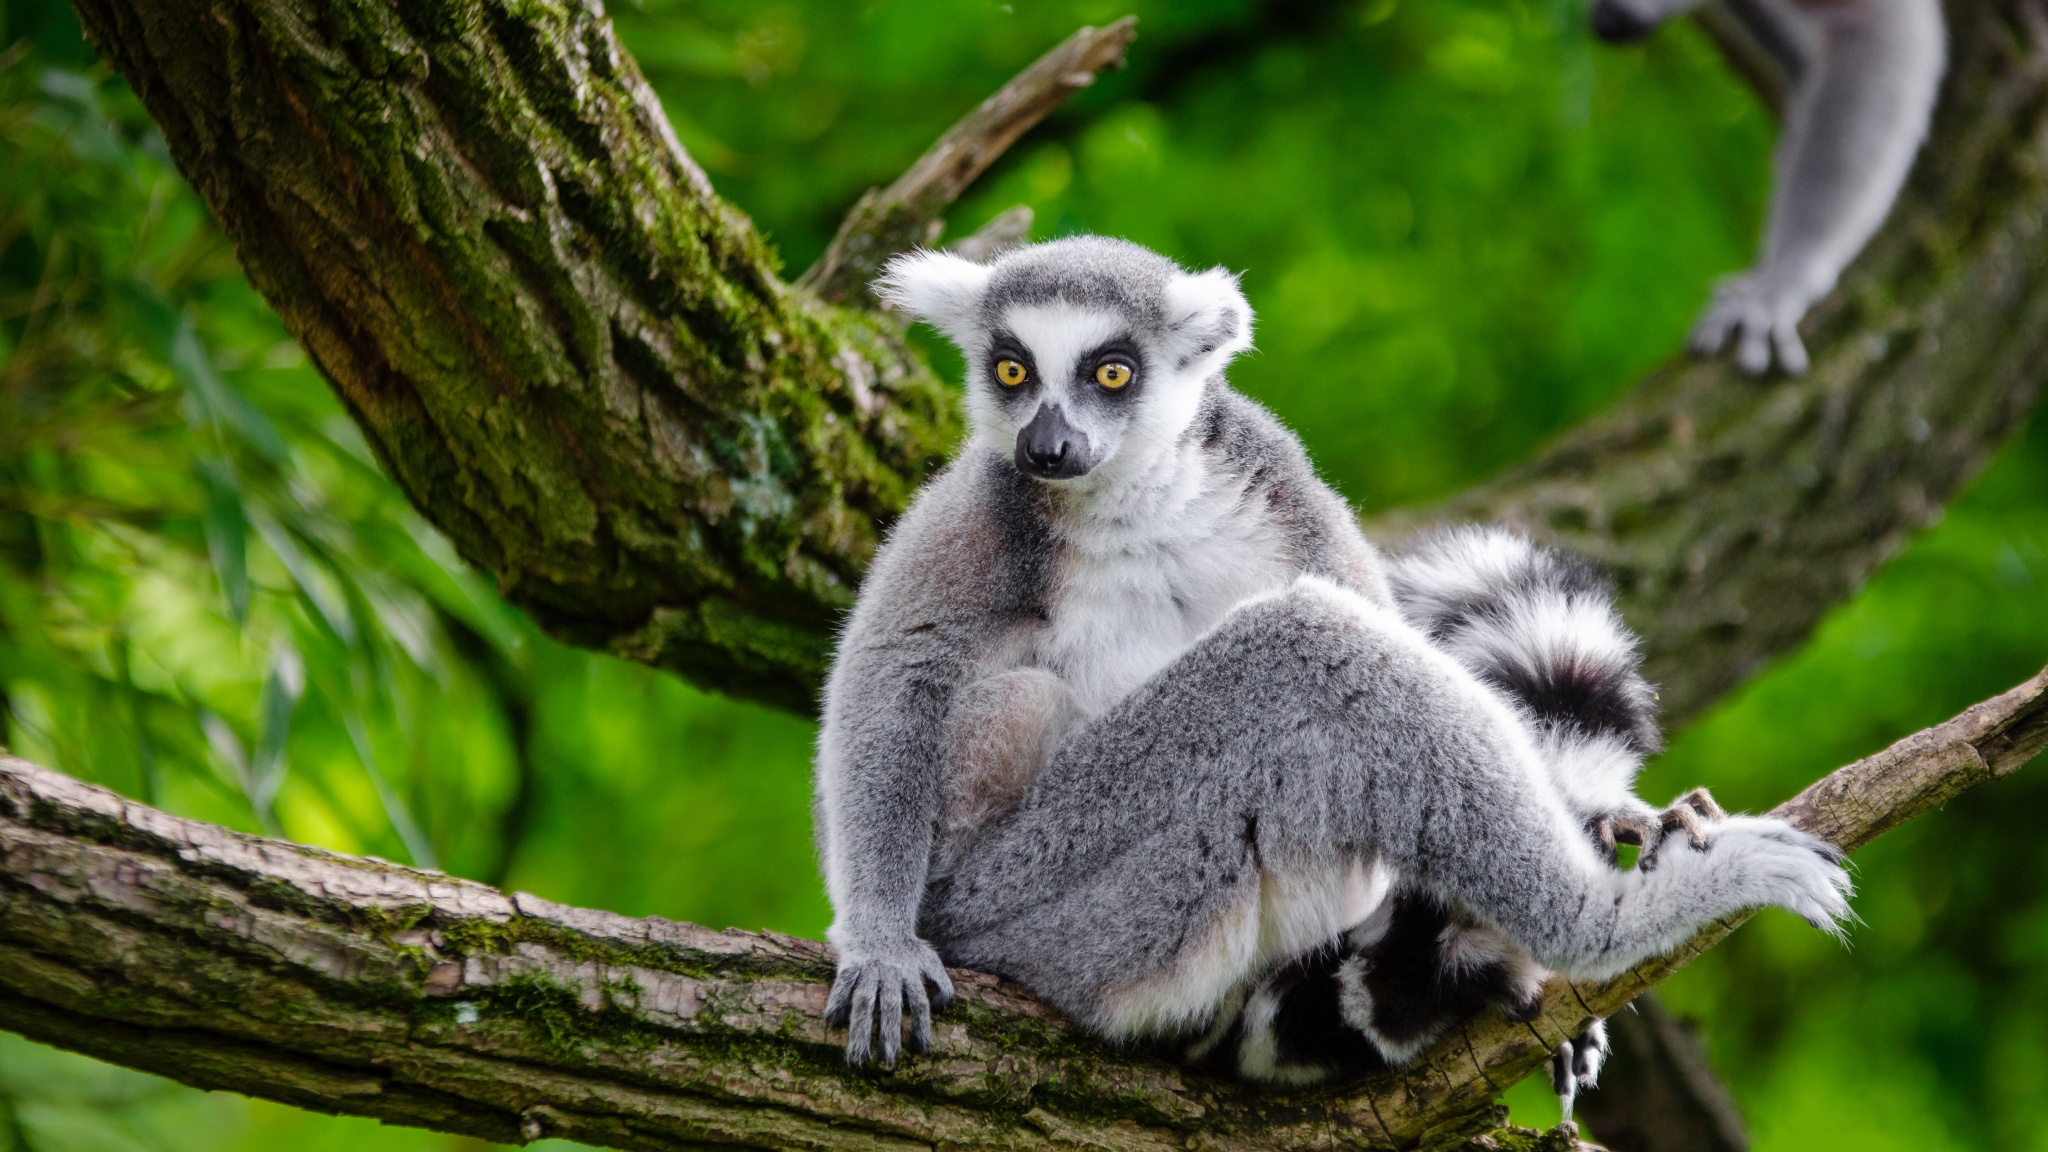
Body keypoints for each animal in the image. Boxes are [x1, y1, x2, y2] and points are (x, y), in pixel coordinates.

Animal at [813, 236, 1852, 1093]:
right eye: (1012, 369)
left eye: (1111, 371)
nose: (1047, 445)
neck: (1130, 496)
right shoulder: (984, 508)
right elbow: (894, 675)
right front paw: (877, 945)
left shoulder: (1277, 482)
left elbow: (1379, 613)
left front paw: (1612, 810)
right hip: (1045, 899)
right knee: (1272, 657)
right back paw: (1606, 927)